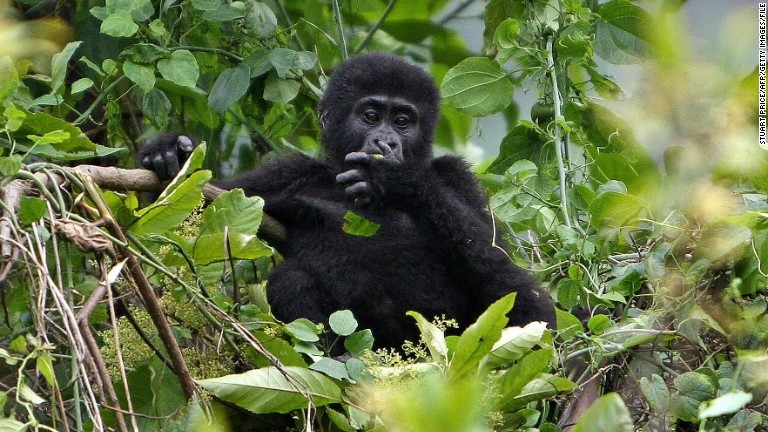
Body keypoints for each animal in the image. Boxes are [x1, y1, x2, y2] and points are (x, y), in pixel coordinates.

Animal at [141, 52, 556, 350]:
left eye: (403, 121)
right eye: (370, 116)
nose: (385, 142)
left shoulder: (457, 176)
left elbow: (498, 263)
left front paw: (395, 181)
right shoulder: (284, 176)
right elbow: (190, 218)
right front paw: (169, 155)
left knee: (527, 303)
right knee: (290, 279)